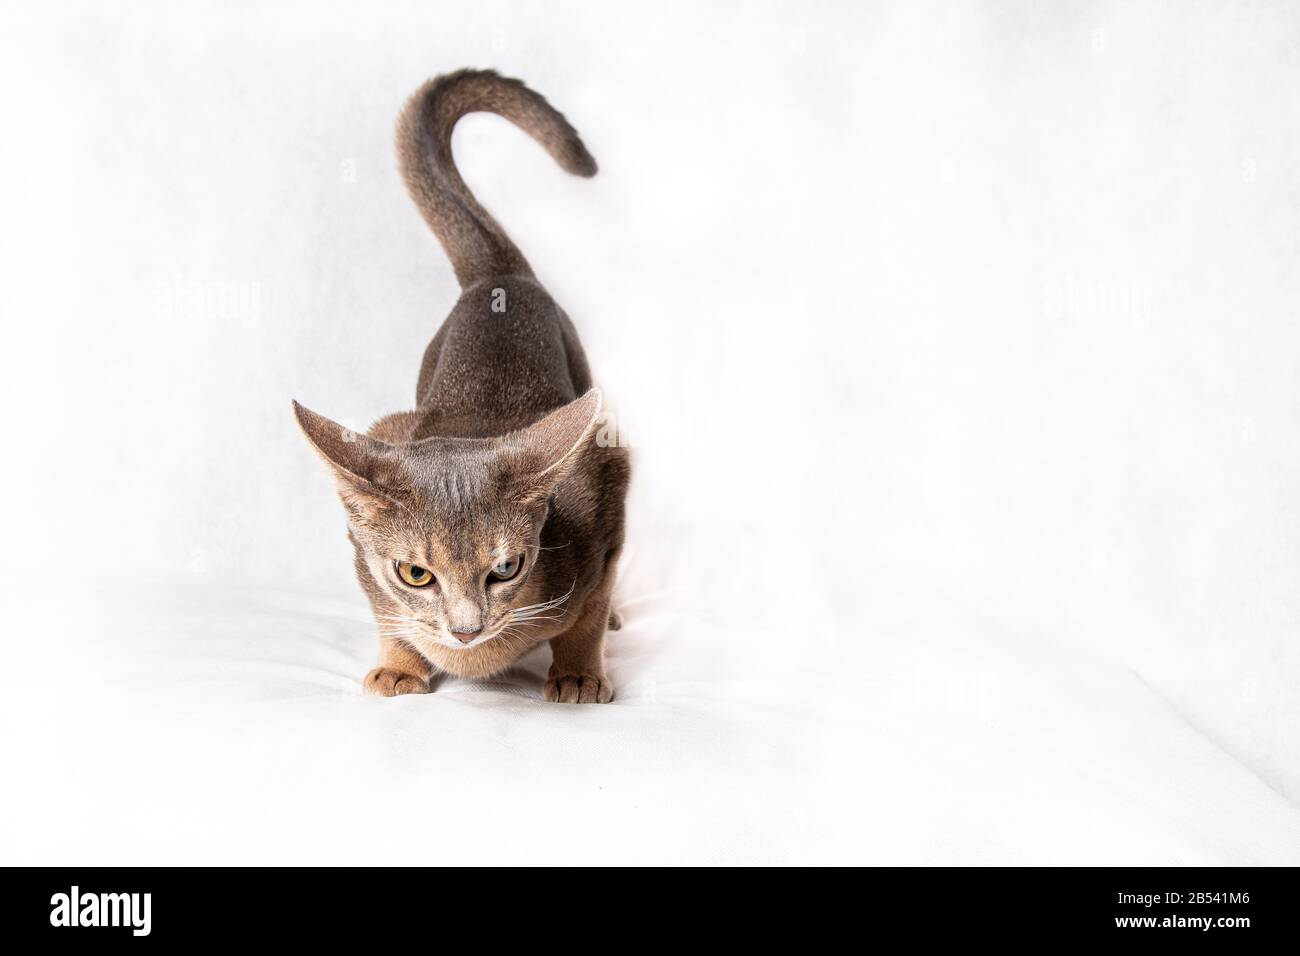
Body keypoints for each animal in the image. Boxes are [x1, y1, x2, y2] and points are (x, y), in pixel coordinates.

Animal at [295, 69, 629, 702]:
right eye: (415, 574)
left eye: (505, 569)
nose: (466, 630)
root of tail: (499, 276)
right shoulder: (364, 544)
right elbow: (385, 608)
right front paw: (401, 664)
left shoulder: (605, 474)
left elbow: (590, 612)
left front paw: (577, 673)